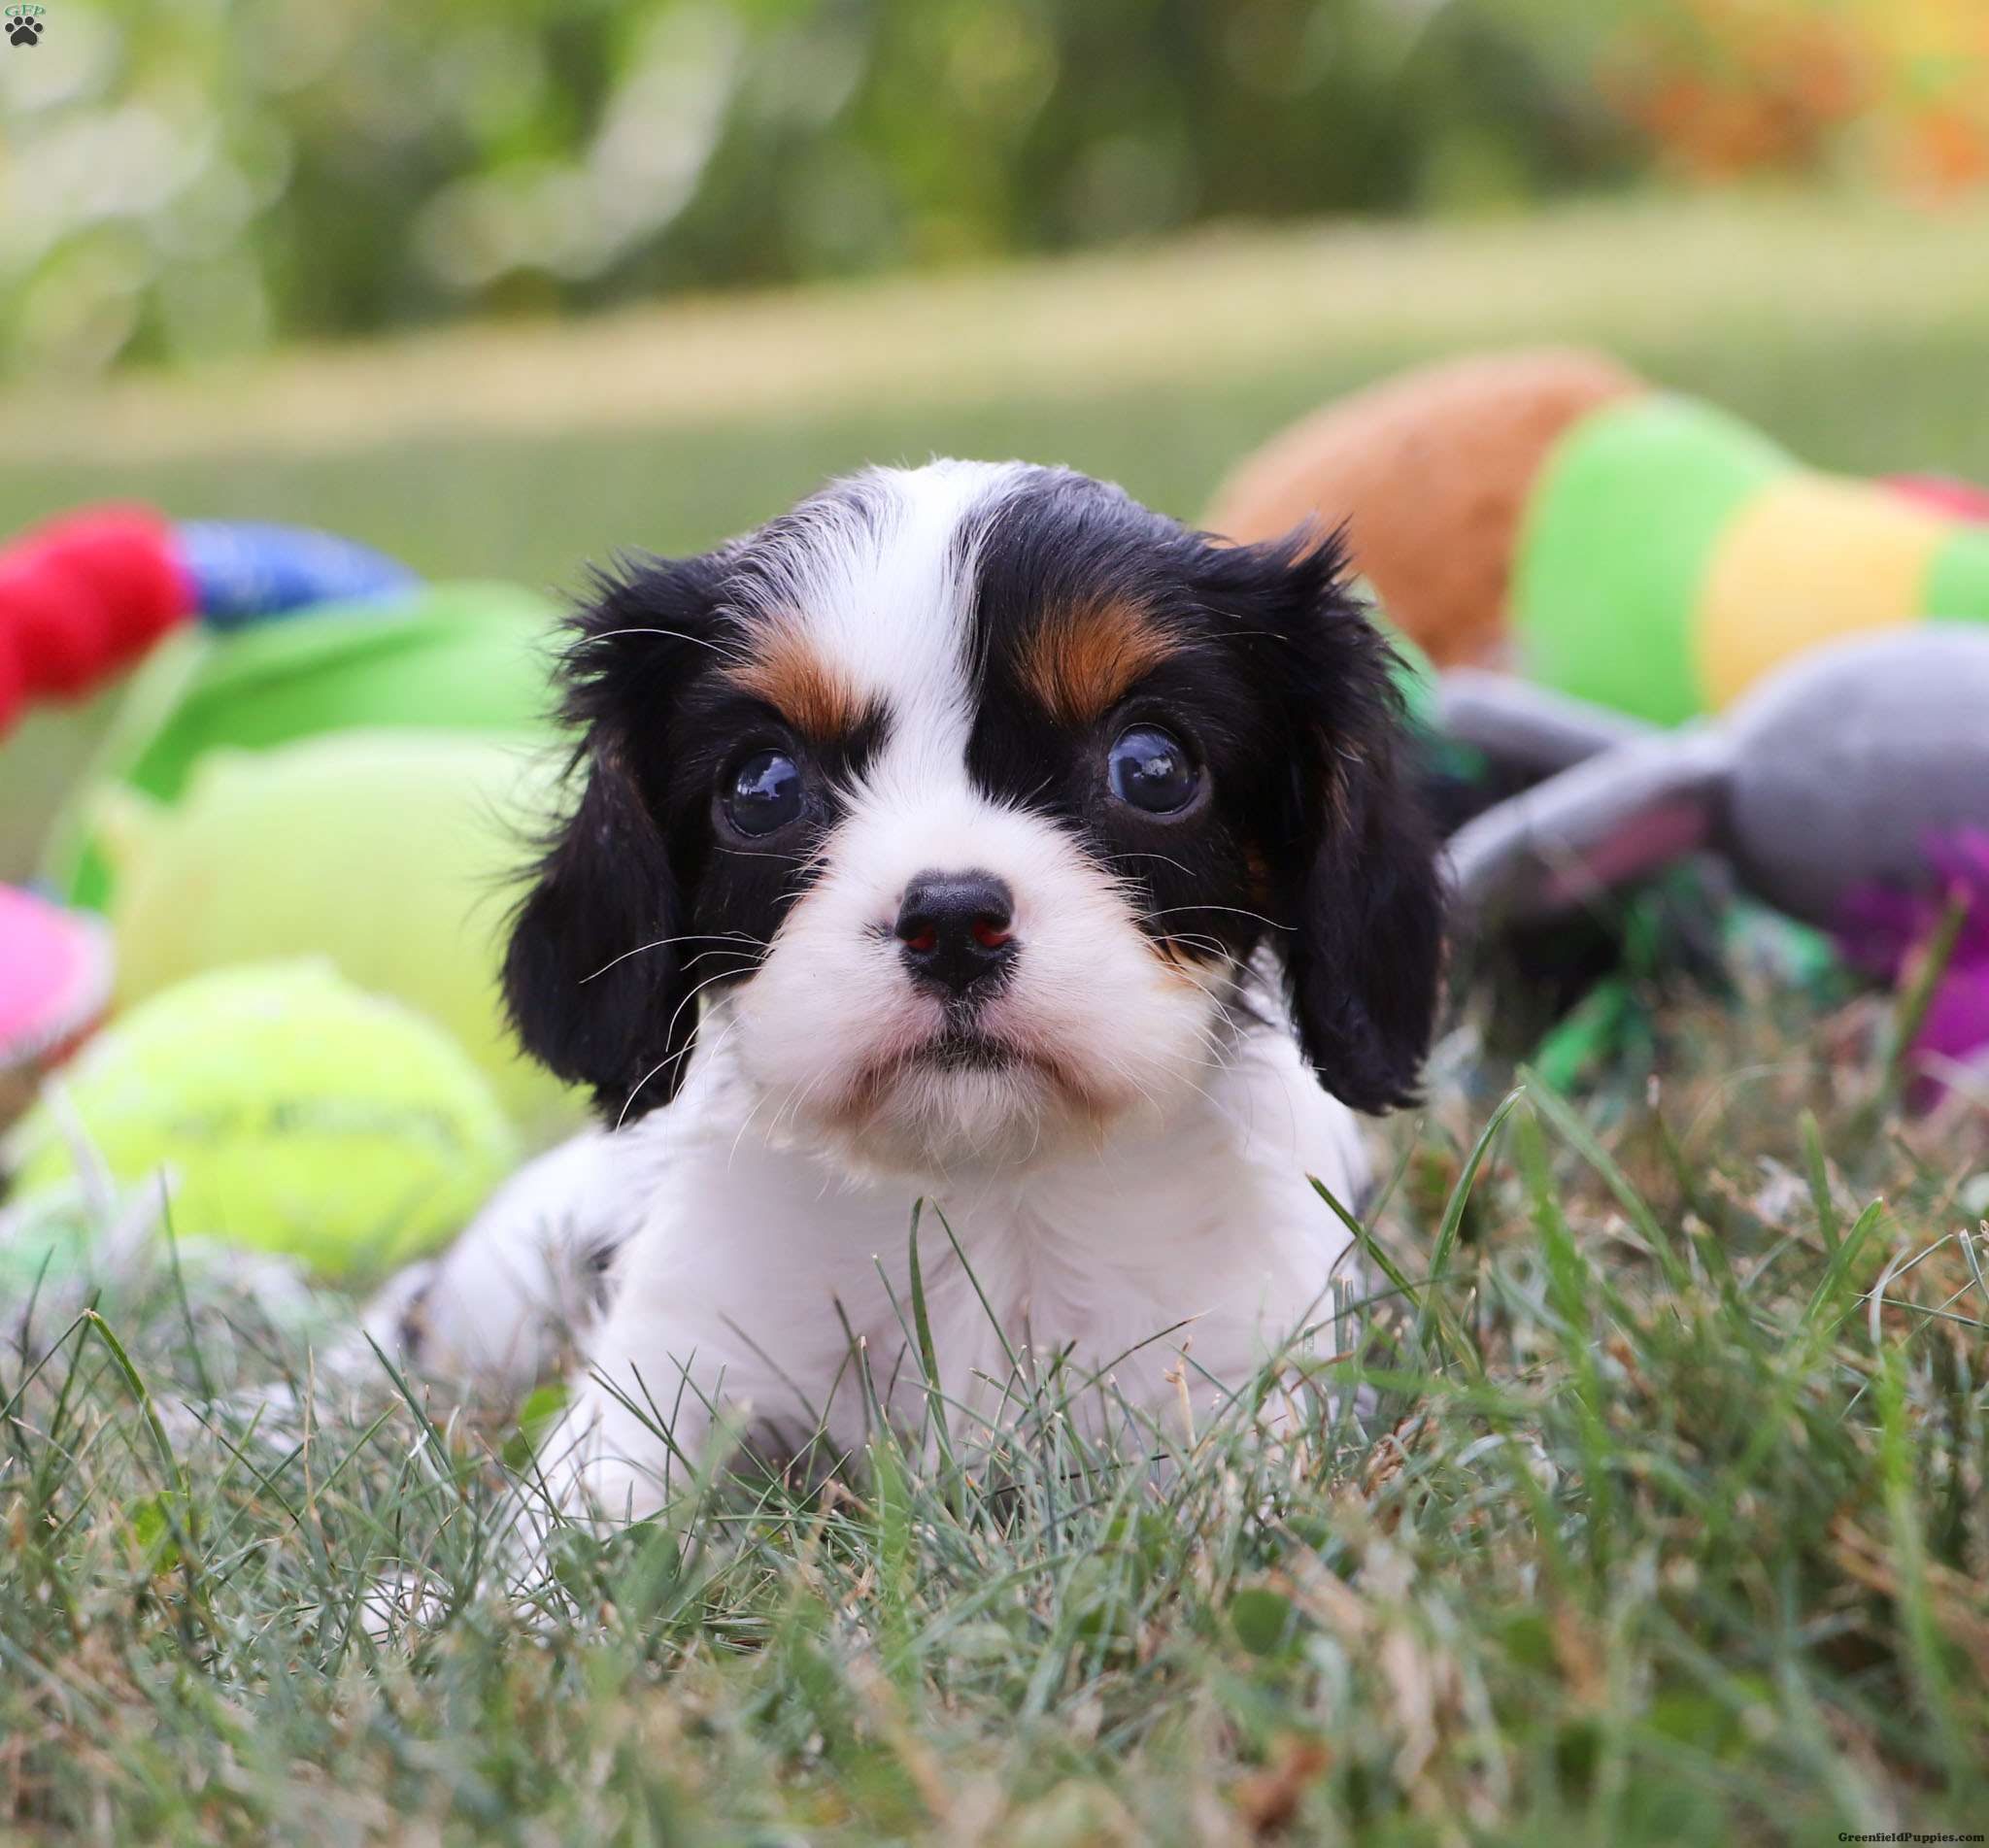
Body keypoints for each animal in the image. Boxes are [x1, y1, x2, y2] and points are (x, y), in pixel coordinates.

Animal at [388, 457, 1447, 1511]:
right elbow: (589, 1507)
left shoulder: (1241, 1377)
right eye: (763, 787)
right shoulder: (671, 1362)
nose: (951, 921)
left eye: (1151, 768)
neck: (982, 1191)